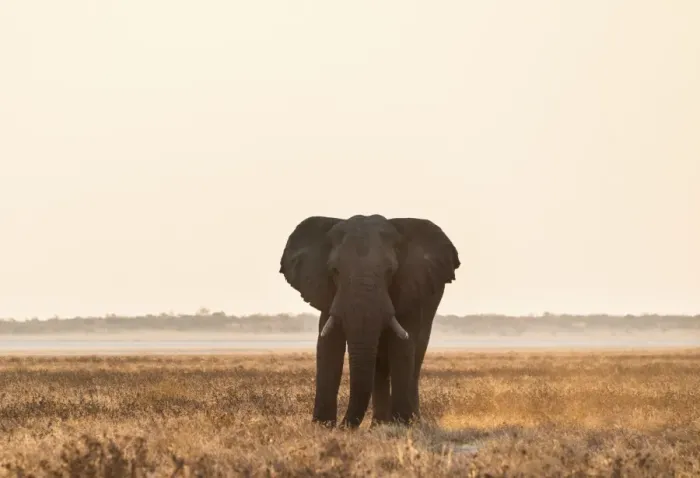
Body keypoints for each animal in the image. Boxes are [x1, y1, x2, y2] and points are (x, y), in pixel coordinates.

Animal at [279, 214, 460, 429]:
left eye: (390, 271)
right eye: (335, 271)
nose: (342, 426)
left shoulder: (411, 286)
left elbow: (402, 345)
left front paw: (402, 425)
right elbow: (328, 345)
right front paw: (321, 427)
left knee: (415, 356)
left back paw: (409, 422)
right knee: (380, 364)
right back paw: (379, 425)